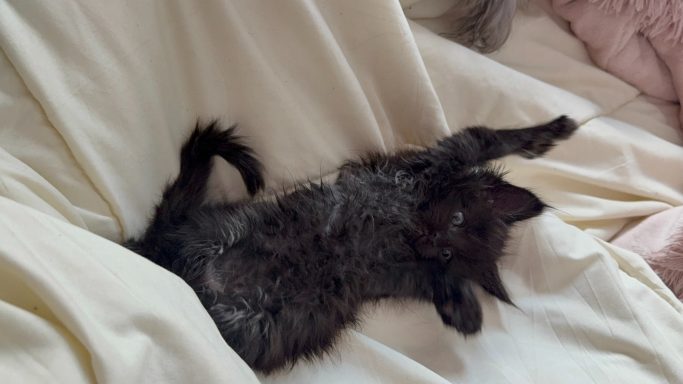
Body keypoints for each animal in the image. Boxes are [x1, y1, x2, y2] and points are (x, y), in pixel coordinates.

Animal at [127, 116, 576, 372]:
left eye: (449, 253)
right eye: (457, 219)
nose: (431, 239)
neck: (406, 222)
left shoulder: (395, 274)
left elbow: (432, 284)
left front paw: (462, 309)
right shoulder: (435, 159)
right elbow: (487, 137)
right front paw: (551, 132)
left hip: (256, 329)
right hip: (228, 229)